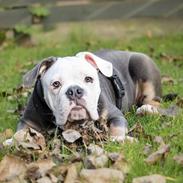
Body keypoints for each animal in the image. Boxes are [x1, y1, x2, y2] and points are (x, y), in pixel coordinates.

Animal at [16, 50, 161, 142]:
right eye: (56, 84)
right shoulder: (27, 121)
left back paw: (147, 109)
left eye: (88, 79)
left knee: (155, 101)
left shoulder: (115, 114)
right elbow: (20, 133)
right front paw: (13, 141)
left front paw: (119, 138)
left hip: (143, 65)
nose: (74, 90)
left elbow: (117, 127)